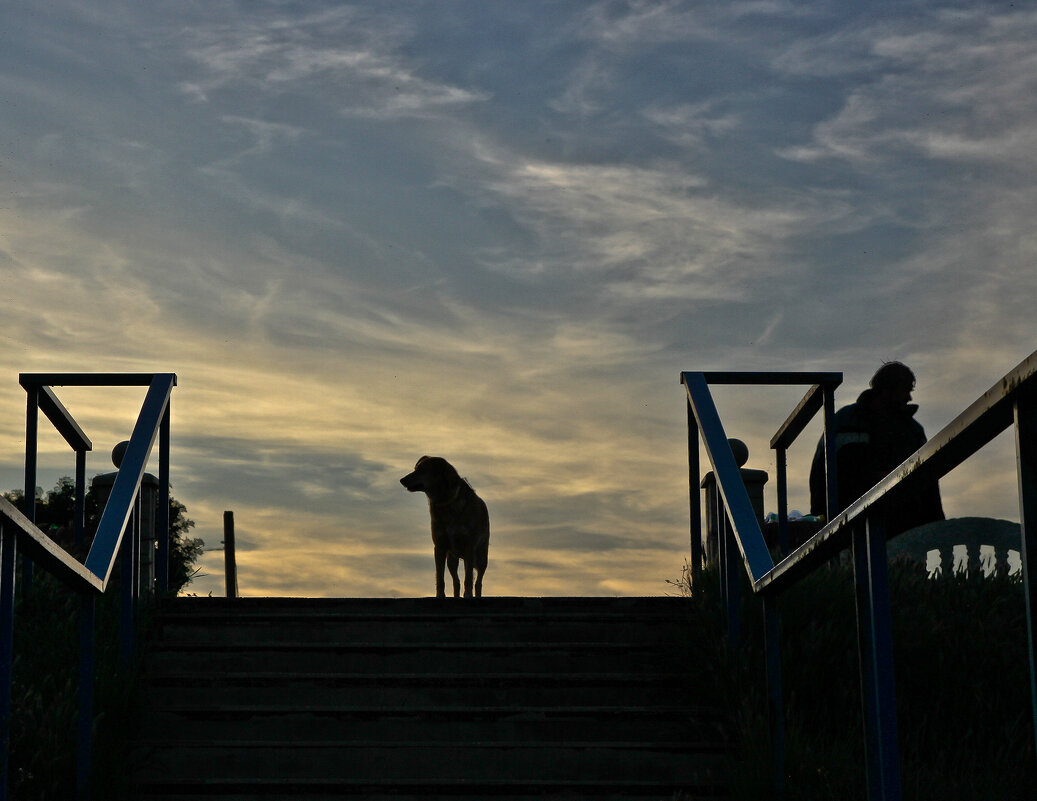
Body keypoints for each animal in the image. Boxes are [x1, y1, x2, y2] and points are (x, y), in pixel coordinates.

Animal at [400, 454, 489, 597]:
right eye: (415, 469)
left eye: (422, 470)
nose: (401, 480)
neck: (446, 502)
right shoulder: (440, 547)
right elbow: (440, 577)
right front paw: (440, 595)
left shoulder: (469, 547)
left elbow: (468, 579)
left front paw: (468, 595)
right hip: (451, 559)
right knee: (456, 581)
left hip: (481, 557)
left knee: (478, 582)